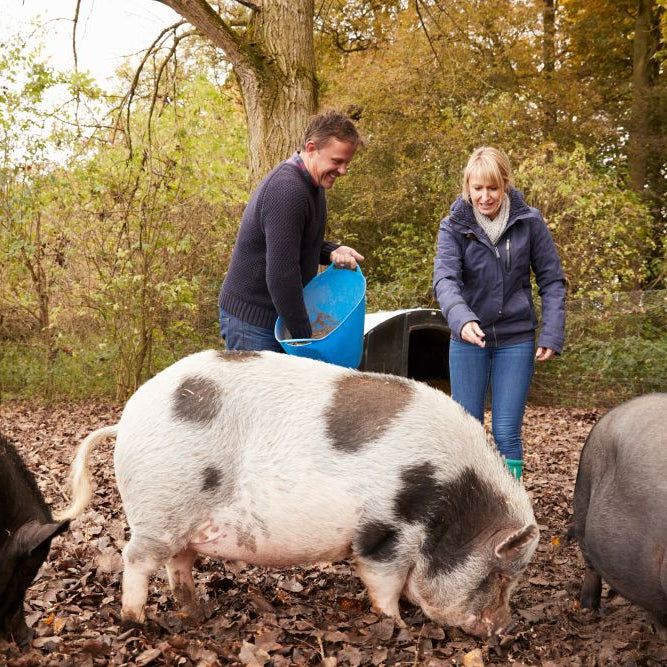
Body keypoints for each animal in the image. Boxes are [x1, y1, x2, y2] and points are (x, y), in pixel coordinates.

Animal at [57, 350, 539, 638]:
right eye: (500, 576)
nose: (506, 628)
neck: (452, 502)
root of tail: (126, 420)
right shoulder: (387, 530)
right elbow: (382, 581)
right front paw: (396, 623)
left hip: (182, 519)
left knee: (179, 563)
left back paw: (197, 613)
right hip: (161, 507)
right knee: (135, 559)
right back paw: (139, 621)